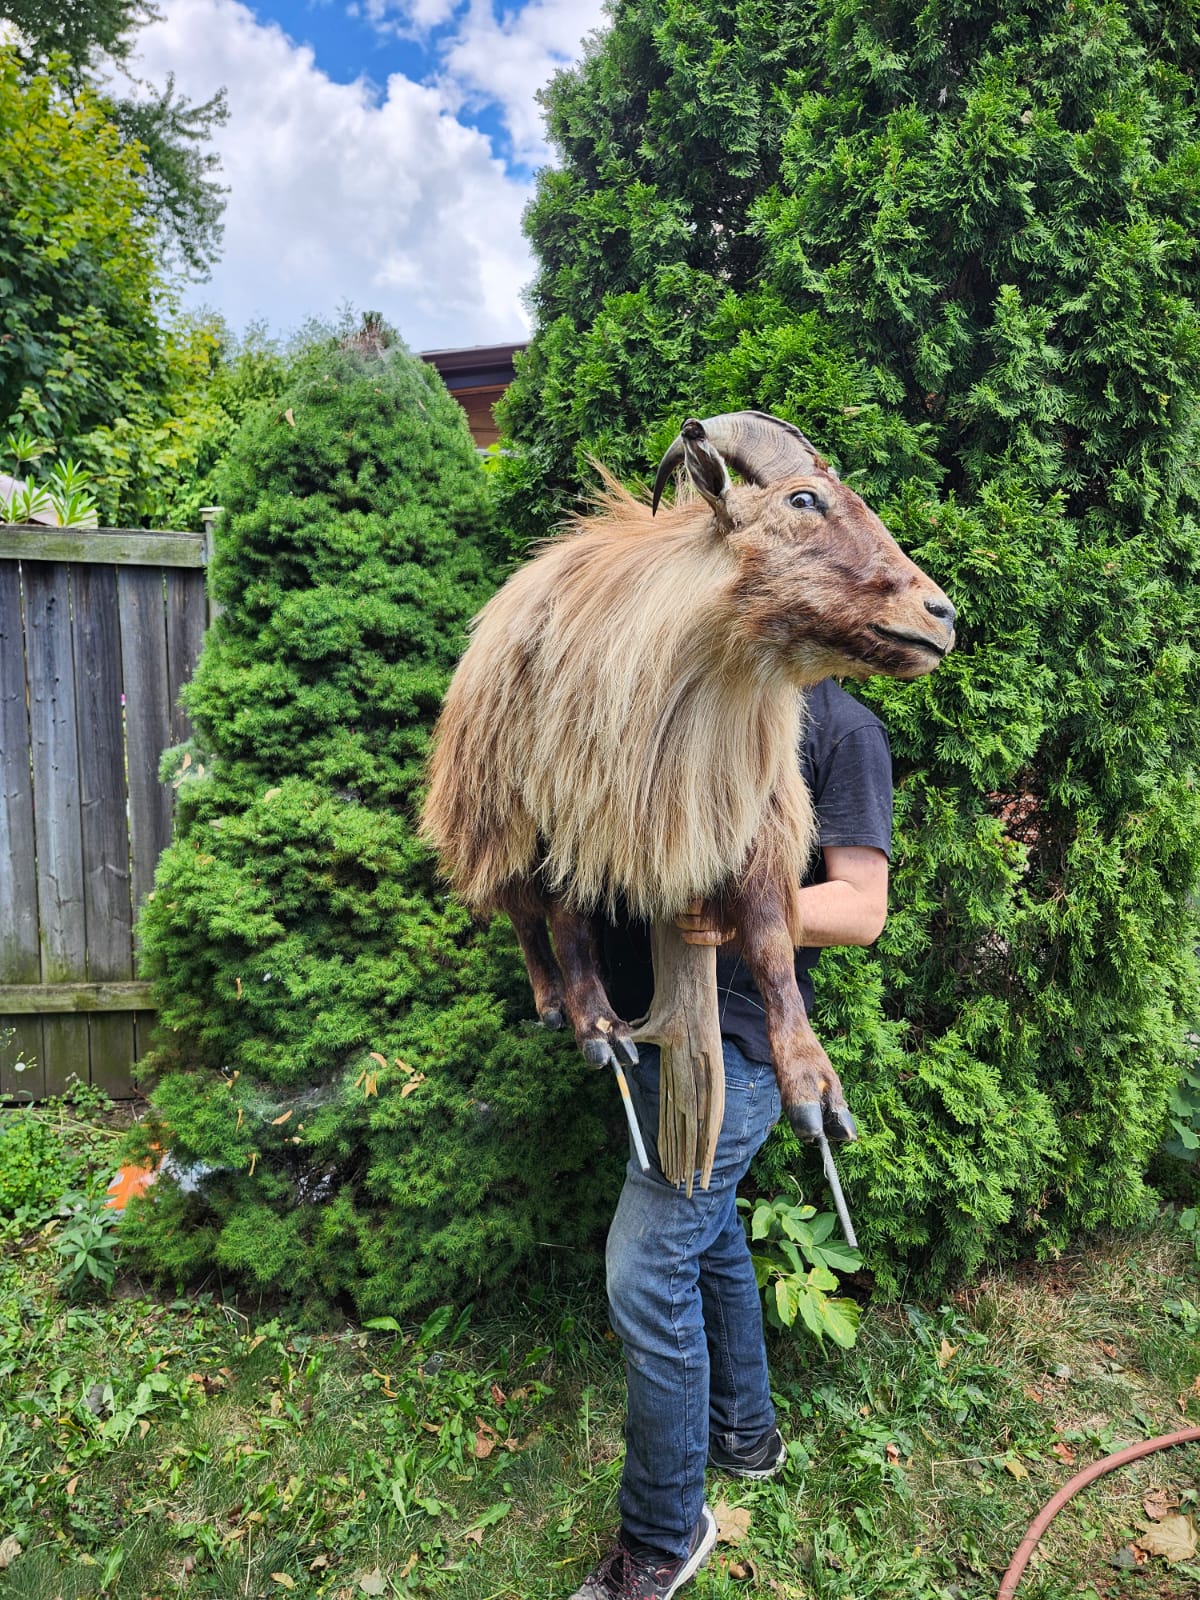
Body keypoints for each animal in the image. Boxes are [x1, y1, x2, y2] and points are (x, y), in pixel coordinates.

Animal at [421, 412, 955, 1188]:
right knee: (523, 907)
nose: (941, 614)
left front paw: (816, 1094)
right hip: (497, 800)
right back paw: (557, 1004)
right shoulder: (573, 801)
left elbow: (769, 939)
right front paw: (599, 1031)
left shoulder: (750, 814)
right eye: (803, 500)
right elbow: (567, 920)